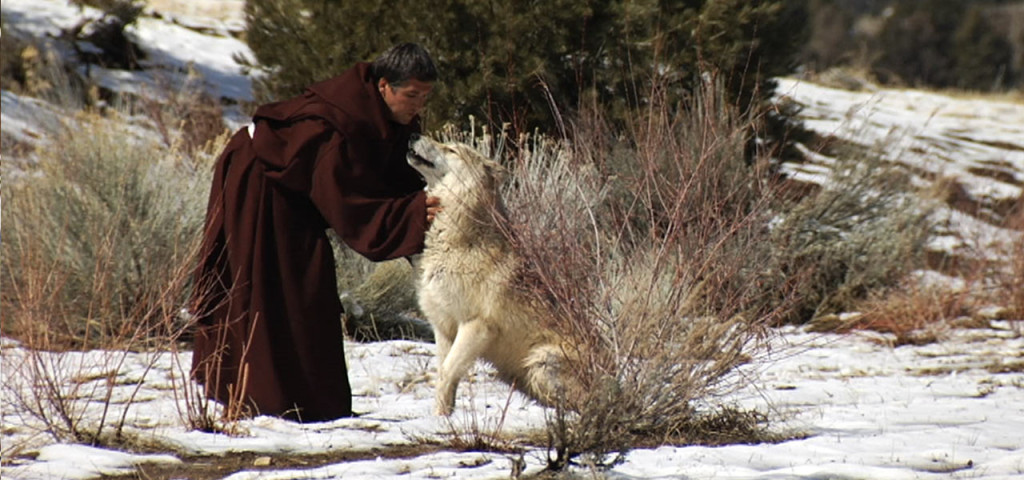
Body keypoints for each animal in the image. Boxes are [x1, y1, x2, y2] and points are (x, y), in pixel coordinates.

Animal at [405, 135, 569, 415]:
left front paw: (440, 419)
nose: (413, 135)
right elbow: (443, 376)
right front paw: (442, 418)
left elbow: (447, 372)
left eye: (452, 149)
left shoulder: (475, 326)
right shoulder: (443, 327)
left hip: (540, 361)